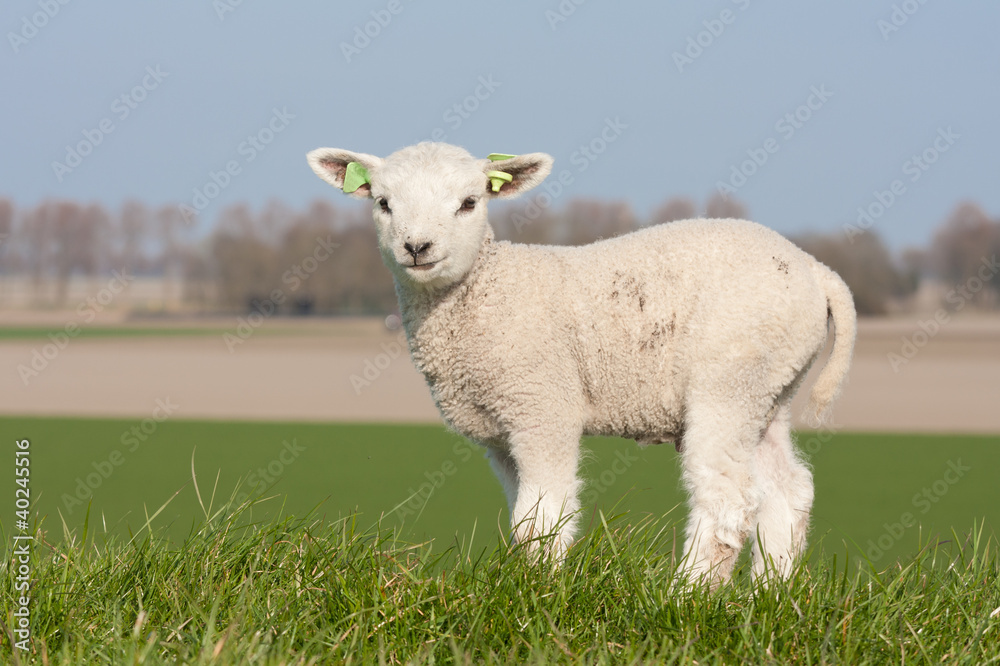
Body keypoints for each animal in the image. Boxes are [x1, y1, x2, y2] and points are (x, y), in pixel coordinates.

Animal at [306, 141, 856, 588]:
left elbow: (545, 513)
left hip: (731, 375)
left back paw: (687, 597)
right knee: (787, 490)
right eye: (383, 203)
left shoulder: (542, 404)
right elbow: (525, 516)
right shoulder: (502, 432)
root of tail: (815, 270)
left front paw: (539, 594)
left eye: (469, 202)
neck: (485, 290)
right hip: (770, 386)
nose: (417, 247)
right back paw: (770, 596)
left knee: (728, 496)